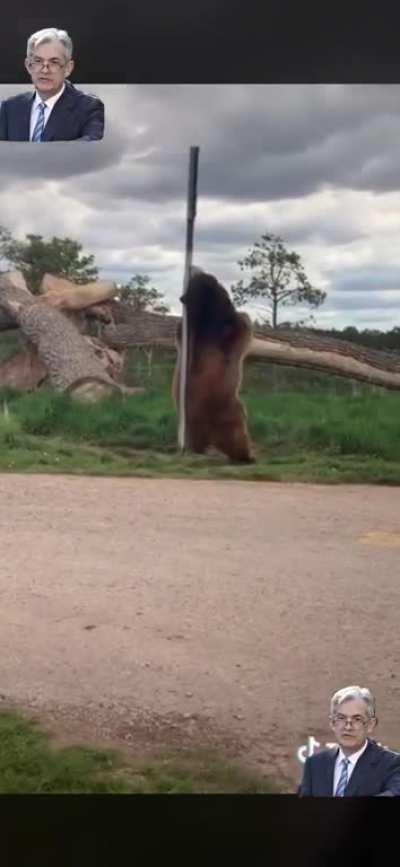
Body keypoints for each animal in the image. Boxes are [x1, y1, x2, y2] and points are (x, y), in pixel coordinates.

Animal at [173, 269, 255, 463]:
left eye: (192, 289)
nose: (181, 298)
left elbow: (238, 328)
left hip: (231, 413)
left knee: (238, 436)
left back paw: (244, 455)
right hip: (197, 421)